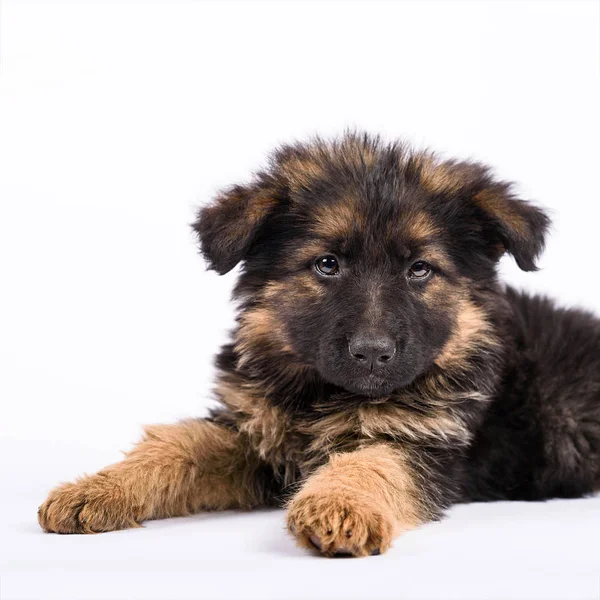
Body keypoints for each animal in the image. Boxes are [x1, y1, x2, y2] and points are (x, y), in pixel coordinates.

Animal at [38, 134, 600, 556]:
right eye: (327, 264)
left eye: (420, 269)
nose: (372, 353)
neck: (321, 394)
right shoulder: (253, 435)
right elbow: (179, 445)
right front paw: (98, 488)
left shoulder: (424, 441)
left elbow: (371, 463)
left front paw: (341, 508)